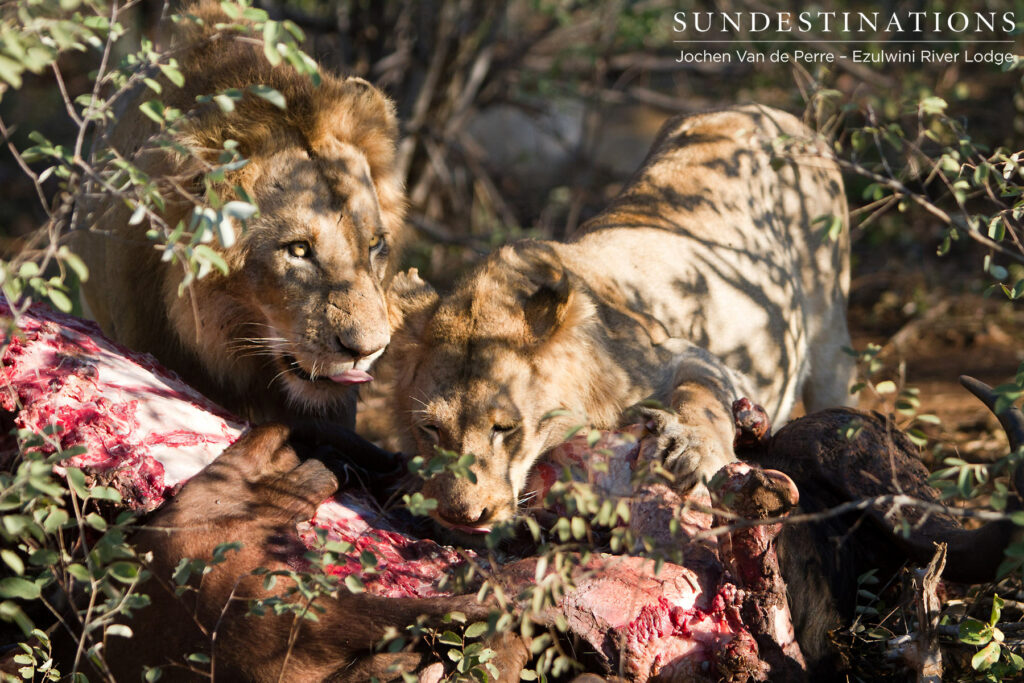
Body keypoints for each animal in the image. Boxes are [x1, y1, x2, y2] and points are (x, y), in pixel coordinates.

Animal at [388, 105, 854, 537]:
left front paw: (693, 452)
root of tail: (761, 109)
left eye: (504, 428)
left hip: (831, 326)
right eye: (431, 429)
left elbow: (702, 396)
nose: (463, 517)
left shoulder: (684, 353)